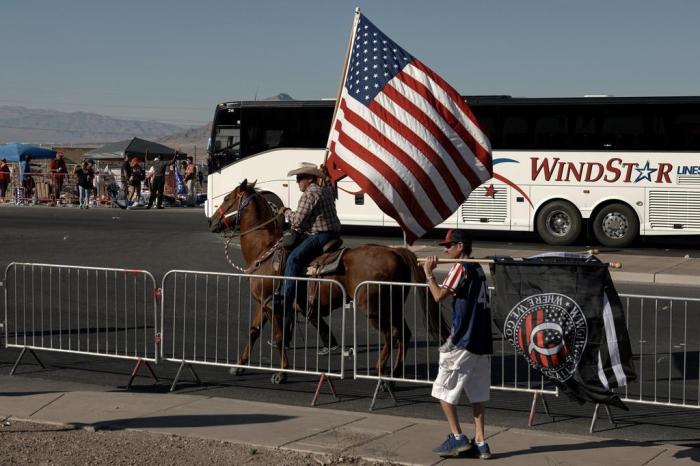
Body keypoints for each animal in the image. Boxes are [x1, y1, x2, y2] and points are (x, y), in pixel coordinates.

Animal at [209, 178, 448, 382]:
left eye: (228, 198)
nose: (211, 222)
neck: (265, 251)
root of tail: (396, 251)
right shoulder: (263, 303)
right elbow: (254, 331)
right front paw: (239, 365)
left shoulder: (274, 306)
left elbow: (278, 338)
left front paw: (282, 373)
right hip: (393, 304)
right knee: (403, 334)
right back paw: (395, 372)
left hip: (373, 307)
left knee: (391, 335)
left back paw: (381, 372)